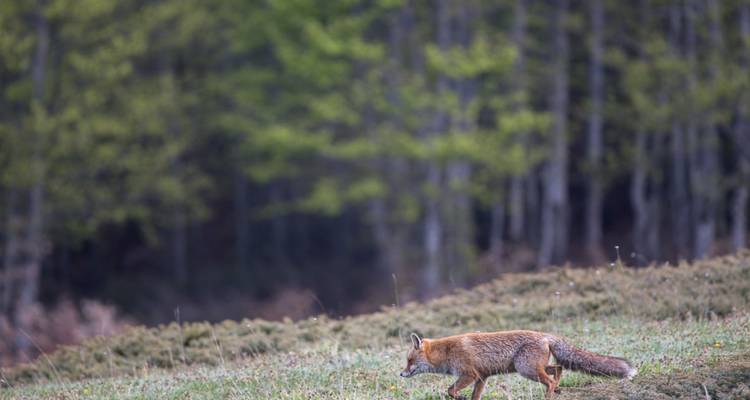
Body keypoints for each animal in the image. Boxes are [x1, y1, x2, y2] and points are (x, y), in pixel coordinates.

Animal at [400, 331, 636, 400]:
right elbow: (474, 396)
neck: (447, 352)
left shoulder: (469, 374)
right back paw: (558, 389)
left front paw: (460, 397)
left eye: (410, 361)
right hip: (533, 368)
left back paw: (548, 396)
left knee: (550, 379)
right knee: (558, 369)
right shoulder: (481, 377)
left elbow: (450, 390)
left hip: (527, 370)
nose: (401, 374)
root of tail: (545, 335)